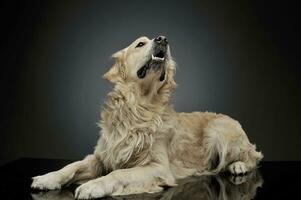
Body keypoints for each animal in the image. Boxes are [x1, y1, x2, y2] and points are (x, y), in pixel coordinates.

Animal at [29, 35, 260, 198]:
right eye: (140, 44)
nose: (163, 39)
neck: (139, 108)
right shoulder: (102, 156)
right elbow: (72, 166)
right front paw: (48, 178)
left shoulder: (158, 167)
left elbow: (118, 173)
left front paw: (93, 185)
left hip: (218, 130)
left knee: (253, 156)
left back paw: (238, 166)